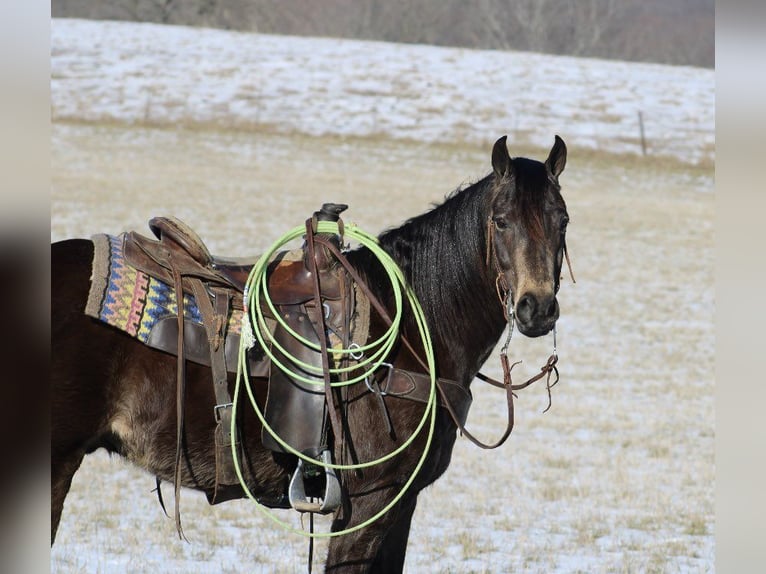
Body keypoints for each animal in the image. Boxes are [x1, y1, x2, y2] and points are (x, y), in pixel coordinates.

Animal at [51, 134, 568, 572]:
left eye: (562, 221)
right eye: (501, 221)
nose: (537, 307)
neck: (414, 324)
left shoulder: (402, 502)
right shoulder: (368, 501)